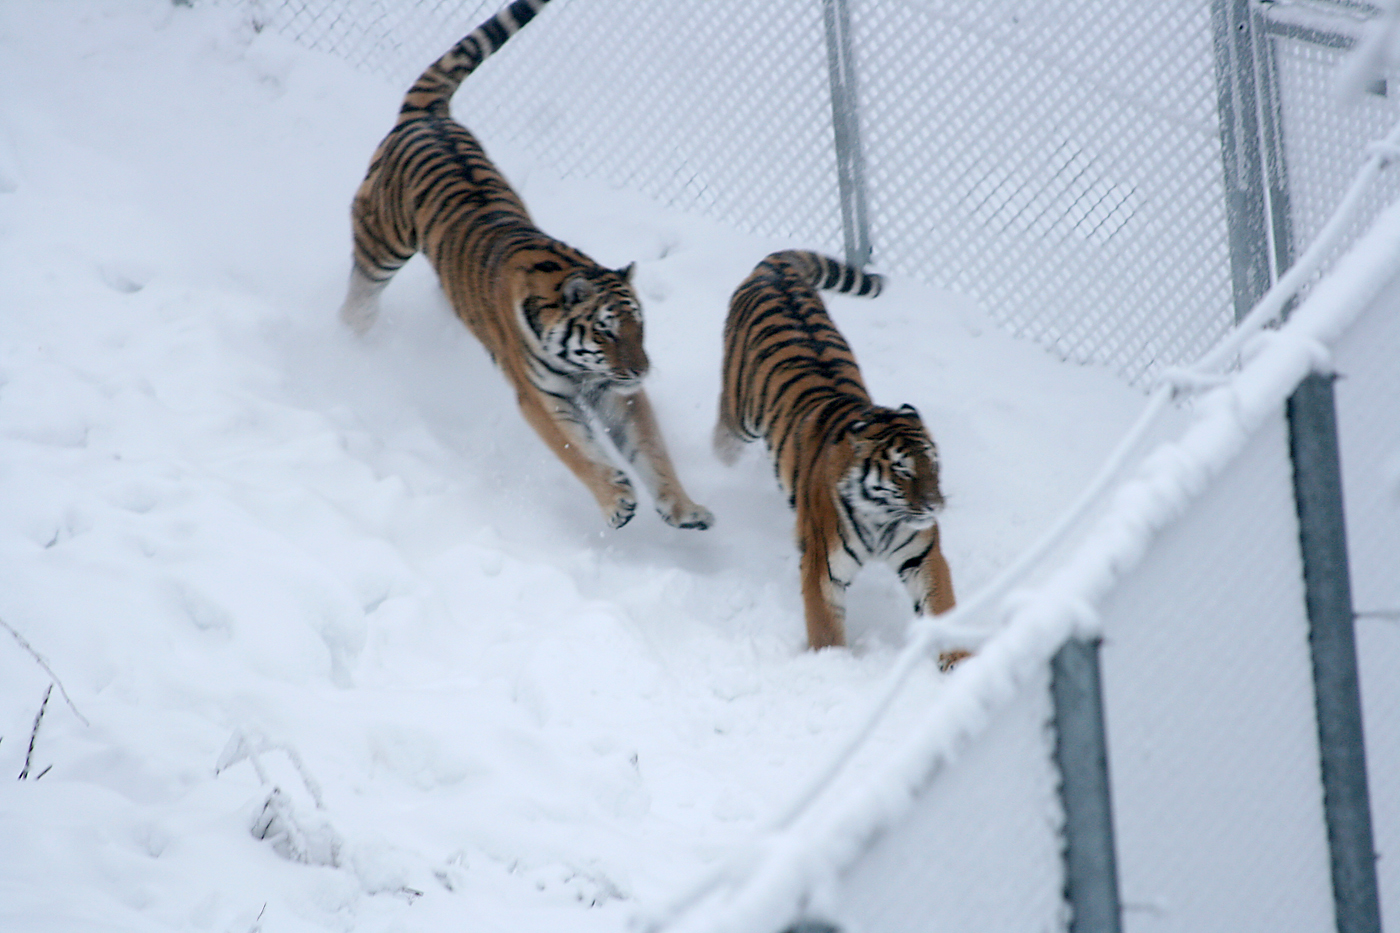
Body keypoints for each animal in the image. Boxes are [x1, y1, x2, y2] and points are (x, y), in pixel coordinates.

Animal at [338, 0, 712, 532]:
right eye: (606, 331)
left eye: (640, 327)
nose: (642, 369)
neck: (580, 362)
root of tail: (429, 115)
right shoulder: (541, 396)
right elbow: (576, 449)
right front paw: (616, 500)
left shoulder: (616, 393)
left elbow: (652, 451)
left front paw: (683, 508)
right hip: (380, 239)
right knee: (361, 290)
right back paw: (353, 335)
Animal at [714, 250, 958, 655]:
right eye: (903, 470)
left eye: (933, 464)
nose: (935, 506)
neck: (883, 518)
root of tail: (775, 265)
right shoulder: (821, 567)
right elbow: (826, 631)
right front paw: (832, 663)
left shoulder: (924, 559)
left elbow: (942, 609)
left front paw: (962, 660)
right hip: (739, 412)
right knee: (723, 435)